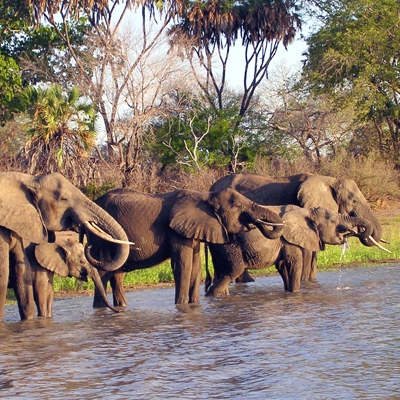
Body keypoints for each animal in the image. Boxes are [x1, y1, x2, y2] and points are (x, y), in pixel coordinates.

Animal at [83, 188, 284, 306]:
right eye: (237, 205)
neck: (205, 196)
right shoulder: (176, 231)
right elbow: (183, 265)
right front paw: (181, 306)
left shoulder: (193, 229)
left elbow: (195, 266)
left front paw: (193, 305)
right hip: (103, 236)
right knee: (104, 272)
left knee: (116, 275)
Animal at [206, 205, 376, 296]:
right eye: (333, 221)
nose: (348, 233)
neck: (307, 212)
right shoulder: (289, 240)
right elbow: (294, 264)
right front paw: (295, 294)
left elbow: (282, 266)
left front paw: (288, 294)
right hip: (229, 245)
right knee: (233, 271)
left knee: (221, 273)